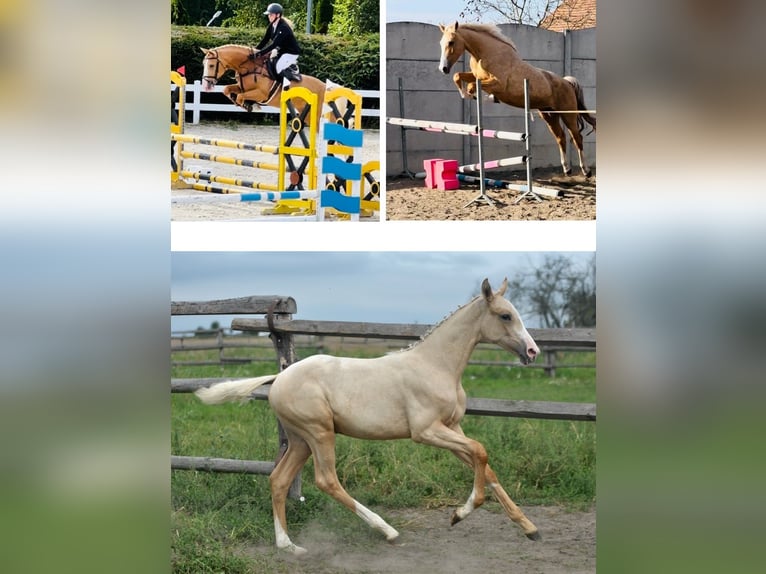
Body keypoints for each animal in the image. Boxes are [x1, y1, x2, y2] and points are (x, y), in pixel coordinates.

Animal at [198, 280, 544, 560]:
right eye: (505, 315)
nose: (532, 351)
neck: (436, 366)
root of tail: (279, 377)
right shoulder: (426, 431)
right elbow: (481, 451)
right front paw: (459, 514)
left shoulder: (451, 427)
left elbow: (484, 464)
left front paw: (530, 528)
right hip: (319, 433)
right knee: (327, 480)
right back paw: (387, 530)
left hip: (300, 440)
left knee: (278, 480)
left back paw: (289, 546)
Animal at [438, 23, 600, 178]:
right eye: (441, 43)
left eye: (451, 42)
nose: (443, 68)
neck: (486, 53)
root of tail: (567, 82)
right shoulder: (477, 76)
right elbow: (458, 76)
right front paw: (469, 95)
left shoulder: (497, 84)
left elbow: (472, 85)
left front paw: (475, 96)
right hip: (549, 115)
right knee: (561, 137)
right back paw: (567, 169)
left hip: (567, 114)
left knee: (577, 138)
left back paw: (586, 171)